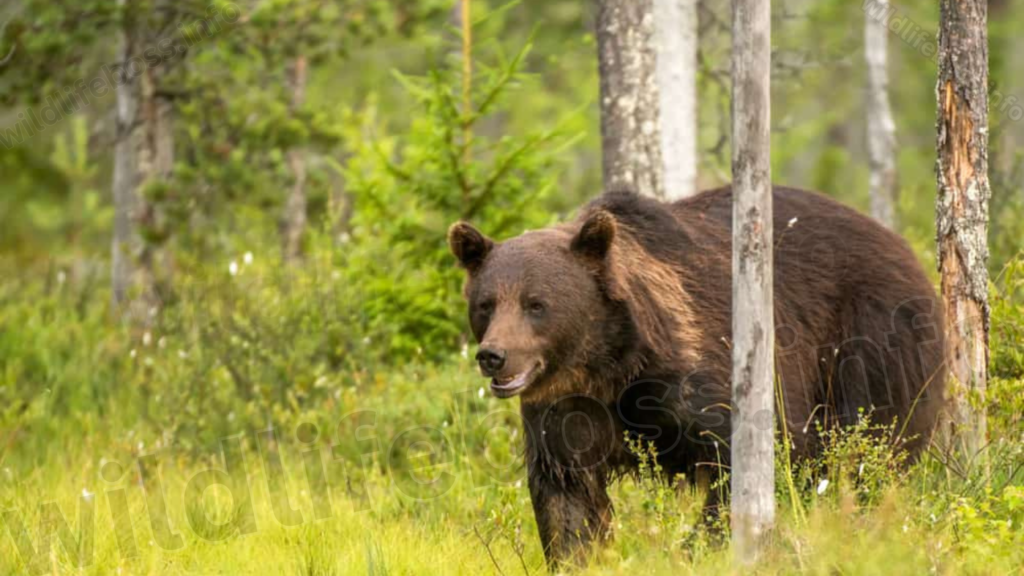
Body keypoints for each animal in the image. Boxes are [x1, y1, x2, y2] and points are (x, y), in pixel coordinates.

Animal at [446, 186, 942, 561]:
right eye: (486, 303)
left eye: (536, 304)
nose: (494, 356)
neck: (609, 366)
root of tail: (904, 248)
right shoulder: (565, 410)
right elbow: (567, 495)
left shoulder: (698, 376)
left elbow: (752, 454)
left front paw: (700, 548)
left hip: (869, 344)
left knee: (869, 450)